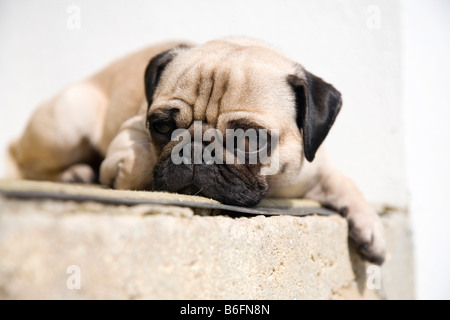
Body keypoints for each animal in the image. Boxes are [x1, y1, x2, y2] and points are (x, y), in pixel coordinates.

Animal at [7, 37, 384, 264]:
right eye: (161, 126)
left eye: (250, 139)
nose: (195, 148)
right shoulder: (130, 130)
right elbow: (133, 157)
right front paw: (125, 171)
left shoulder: (314, 169)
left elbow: (344, 183)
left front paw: (370, 227)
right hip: (67, 123)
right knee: (25, 164)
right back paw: (76, 173)